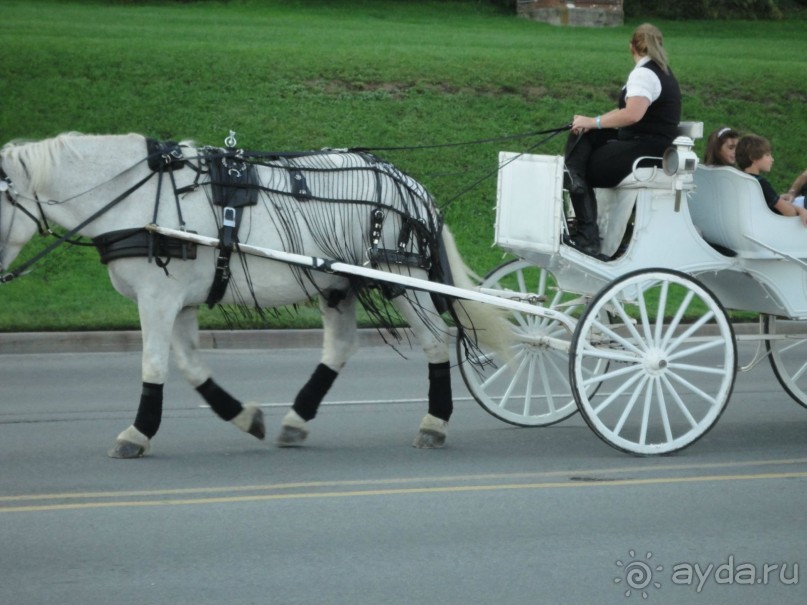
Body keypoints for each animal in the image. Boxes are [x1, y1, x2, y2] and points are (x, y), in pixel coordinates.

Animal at [0, 133, 508, 458]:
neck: (138, 199)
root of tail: (411, 186)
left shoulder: (158, 295)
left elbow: (154, 364)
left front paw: (137, 433)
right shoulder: (179, 300)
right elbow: (190, 366)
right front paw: (244, 416)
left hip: (399, 274)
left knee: (435, 339)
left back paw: (434, 422)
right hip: (338, 282)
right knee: (341, 346)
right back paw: (297, 418)